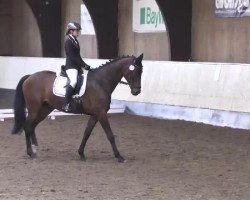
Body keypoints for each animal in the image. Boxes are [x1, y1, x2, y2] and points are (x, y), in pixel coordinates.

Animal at [12, 53, 145, 162]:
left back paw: (34, 149)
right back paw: (31, 153)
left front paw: (81, 154)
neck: (100, 82)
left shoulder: (95, 114)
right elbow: (110, 135)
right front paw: (119, 156)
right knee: (28, 126)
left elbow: (87, 133)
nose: (136, 92)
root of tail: (30, 76)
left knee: (32, 126)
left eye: (141, 71)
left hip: (45, 109)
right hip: (34, 108)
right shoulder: (101, 113)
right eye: (135, 71)